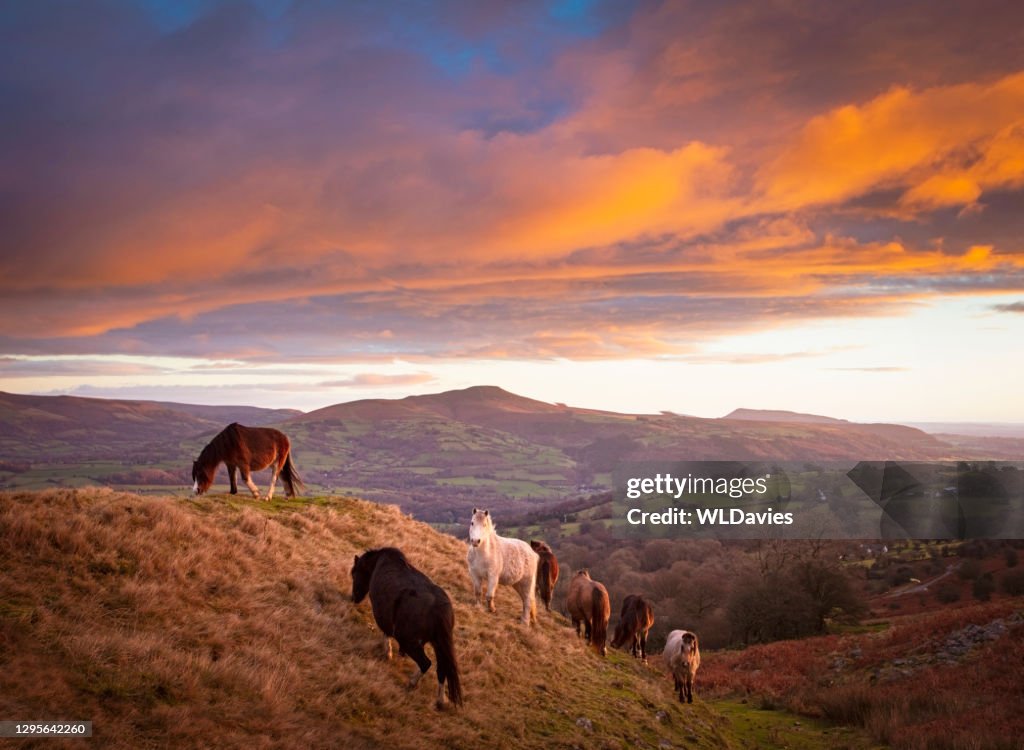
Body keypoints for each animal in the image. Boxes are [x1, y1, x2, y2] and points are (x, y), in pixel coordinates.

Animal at [350, 547, 463, 708]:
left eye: (354, 573)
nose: (353, 598)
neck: (381, 562)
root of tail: (440, 609)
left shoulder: (383, 612)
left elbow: (386, 631)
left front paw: (388, 652)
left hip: (410, 642)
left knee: (425, 663)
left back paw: (412, 683)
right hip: (438, 644)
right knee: (442, 668)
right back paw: (441, 700)